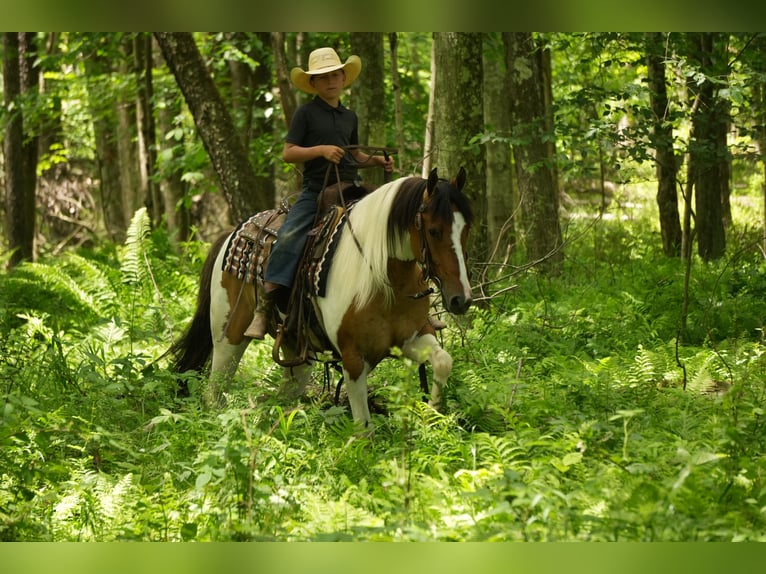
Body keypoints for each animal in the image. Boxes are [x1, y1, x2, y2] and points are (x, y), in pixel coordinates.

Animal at [169, 167, 474, 426]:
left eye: (466, 229)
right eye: (434, 231)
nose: (461, 299)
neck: (383, 277)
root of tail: (231, 233)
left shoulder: (410, 338)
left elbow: (443, 361)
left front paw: (432, 414)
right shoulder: (353, 358)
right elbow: (363, 427)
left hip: (295, 352)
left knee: (282, 397)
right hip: (228, 337)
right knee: (215, 393)